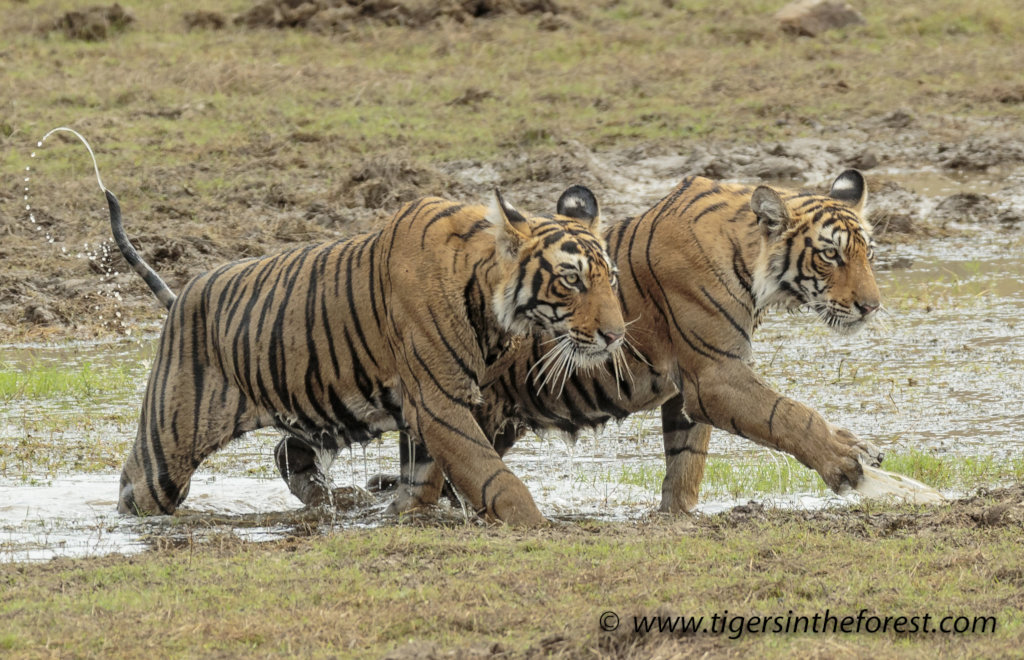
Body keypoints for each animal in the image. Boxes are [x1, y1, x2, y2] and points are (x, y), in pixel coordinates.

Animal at [109, 182, 626, 527]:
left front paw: (399, 510)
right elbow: (491, 474)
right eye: (571, 279)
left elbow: (424, 479)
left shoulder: (429, 408)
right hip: (167, 444)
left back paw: (330, 501)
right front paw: (539, 526)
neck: (494, 307)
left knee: (286, 452)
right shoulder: (439, 402)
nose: (616, 335)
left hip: (323, 409)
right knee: (136, 483)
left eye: (611, 278)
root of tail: (183, 294)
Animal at [368, 169, 887, 515]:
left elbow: (686, 462)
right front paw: (846, 458)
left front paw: (677, 515)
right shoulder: (715, 374)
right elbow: (790, 415)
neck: (752, 263)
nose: (871, 306)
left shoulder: (688, 388)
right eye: (831, 255)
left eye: (868, 252)